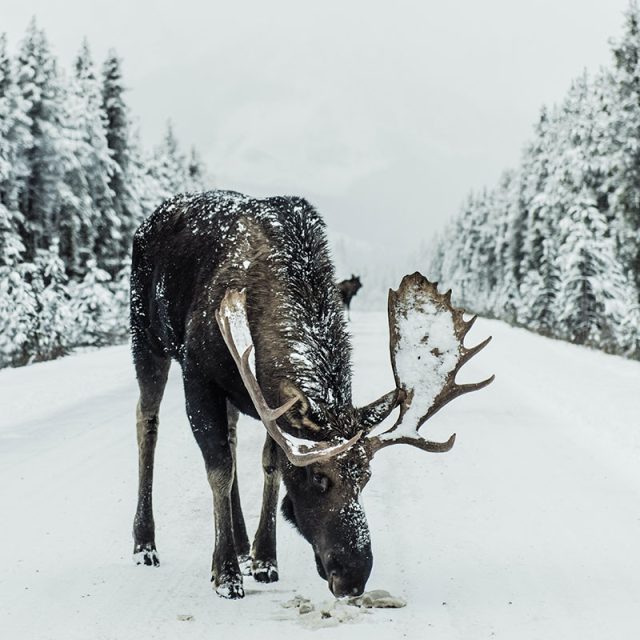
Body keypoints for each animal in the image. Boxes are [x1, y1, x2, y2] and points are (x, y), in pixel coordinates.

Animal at [127, 190, 492, 600]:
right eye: (319, 478)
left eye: (366, 477)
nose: (353, 577)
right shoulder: (198, 373)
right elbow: (219, 469)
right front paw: (226, 574)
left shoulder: (266, 400)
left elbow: (269, 465)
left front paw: (264, 558)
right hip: (146, 337)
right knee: (147, 422)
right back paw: (145, 544)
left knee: (232, 437)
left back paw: (241, 541)